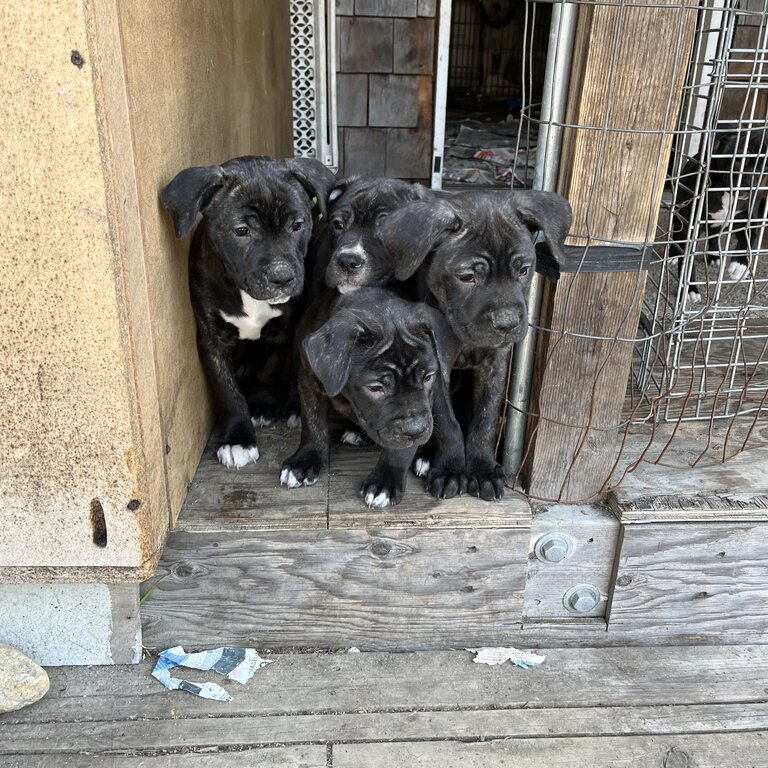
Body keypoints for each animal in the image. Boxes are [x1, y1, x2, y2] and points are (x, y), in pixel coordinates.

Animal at [161, 154, 336, 468]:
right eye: (242, 230)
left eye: (297, 225)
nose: (282, 277)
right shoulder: (212, 340)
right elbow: (227, 392)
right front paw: (238, 437)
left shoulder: (282, 333)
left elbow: (269, 371)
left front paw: (261, 405)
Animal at [382, 191, 568, 500]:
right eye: (467, 277)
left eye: (524, 270)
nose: (507, 323)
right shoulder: (436, 369)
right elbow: (447, 422)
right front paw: (450, 469)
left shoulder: (495, 362)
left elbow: (486, 419)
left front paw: (482, 469)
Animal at [676, 130, 764, 302]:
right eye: (739, 160)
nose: (750, 187)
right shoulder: (691, 228)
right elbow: (688, 263)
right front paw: (690, 289)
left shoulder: (747, 220)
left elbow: (751, 238)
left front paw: (740, 264)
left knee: (714, 236)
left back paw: (714, 254)